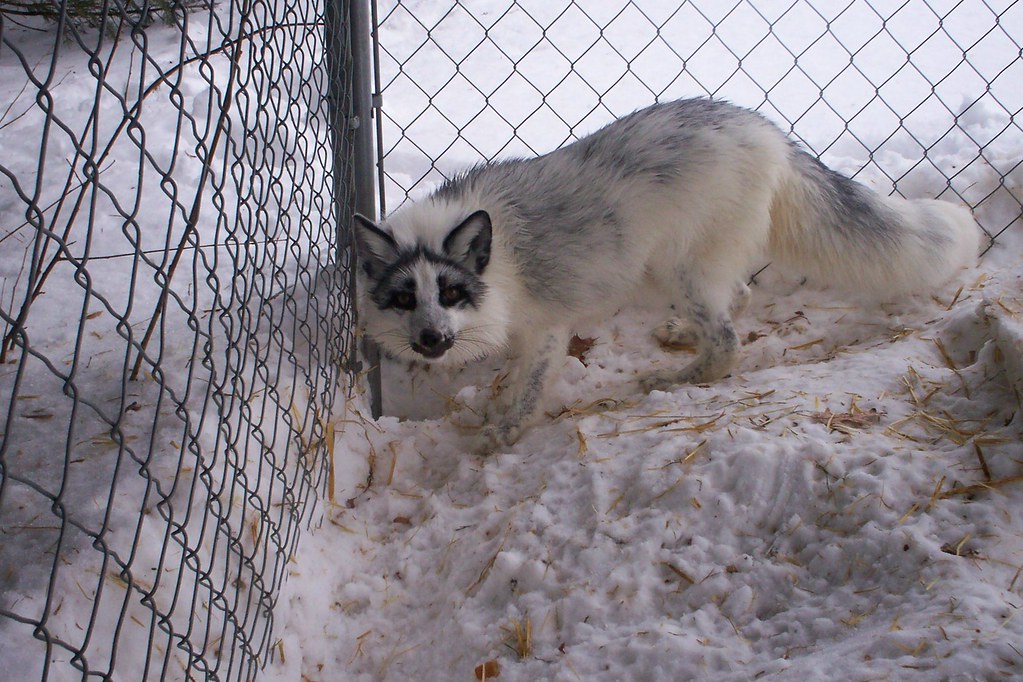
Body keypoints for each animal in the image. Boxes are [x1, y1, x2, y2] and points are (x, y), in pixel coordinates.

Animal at [353, 98, 980, 451]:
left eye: (452, 292)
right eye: (405, 299)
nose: (431, 339)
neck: (502, 263)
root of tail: (768, 132)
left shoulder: (547, 326)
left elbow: (529, 389)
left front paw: (505, 431)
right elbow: (513, 376)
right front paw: (497, 402)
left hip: (675, 268)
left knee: (727, 342)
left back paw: (674, 379)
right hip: (668, 272)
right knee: (739, 297)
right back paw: (681, 336)